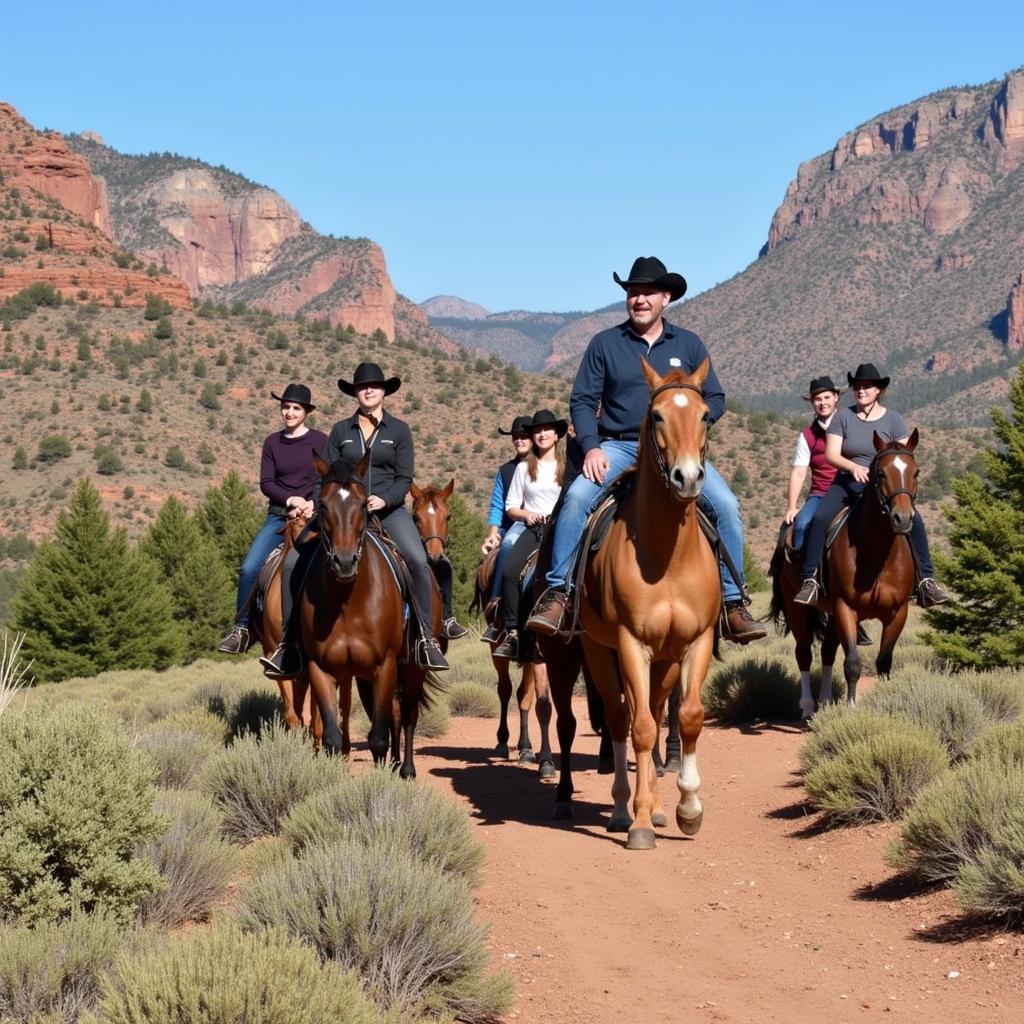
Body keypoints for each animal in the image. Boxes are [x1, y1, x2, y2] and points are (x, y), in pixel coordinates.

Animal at [299, 450, 436, 774]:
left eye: (363, 504)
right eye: (323, 504)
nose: (344, 561)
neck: (347, 602)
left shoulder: (384, 665)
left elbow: (377, 739)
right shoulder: (321, 669)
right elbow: (333, 738)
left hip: (413, 668)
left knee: (408, 713)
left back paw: (406, 769)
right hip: (363, 678)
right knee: (395, 714)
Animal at [540, 360, 716, 847]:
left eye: (705, 415)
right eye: (656, 415)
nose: (687, 478)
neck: (667, 557)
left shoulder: (694, 642)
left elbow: (686, 717)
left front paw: (687, 809)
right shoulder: (631, 642)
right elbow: (637, 728)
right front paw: (638, 824)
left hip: (660, 661)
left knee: (650, 712)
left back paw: (653, 807)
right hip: (584, 653)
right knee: (615, 720)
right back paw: (617, 809)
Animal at [770, 428, 921, 716]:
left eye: (916, 472)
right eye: (880, 473)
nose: (903, 518)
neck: (875, 555)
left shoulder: (898, 612)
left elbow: (884, 662)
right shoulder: (845, 608)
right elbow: (852, 663)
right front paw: (851, 709)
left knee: (827, 651)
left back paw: (827, 701)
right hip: (798, 608)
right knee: (804, 653)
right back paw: (808, 707)